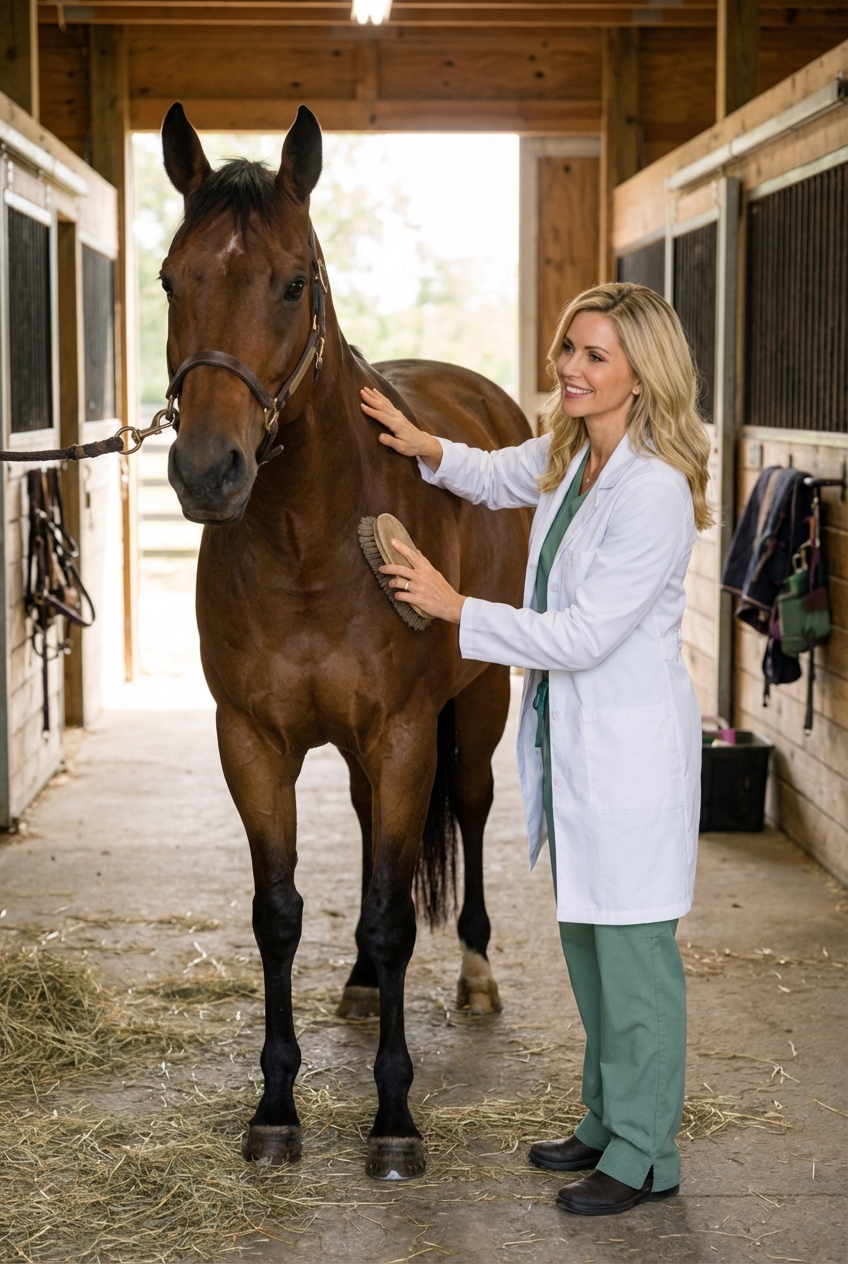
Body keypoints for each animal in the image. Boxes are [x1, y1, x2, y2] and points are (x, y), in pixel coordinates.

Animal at [160, 102, 532, 1180]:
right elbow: (280, 913)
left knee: (470, 812)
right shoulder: (252, 741)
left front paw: (394, 1117)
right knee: (375, 837)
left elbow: (395, 911)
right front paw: (276, 1103)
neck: (310, 544)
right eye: (170, 279)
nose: (208, 471)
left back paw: (476, 973)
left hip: (475, 707)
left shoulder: (406, 733)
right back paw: (365, 984)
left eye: (293, 281)